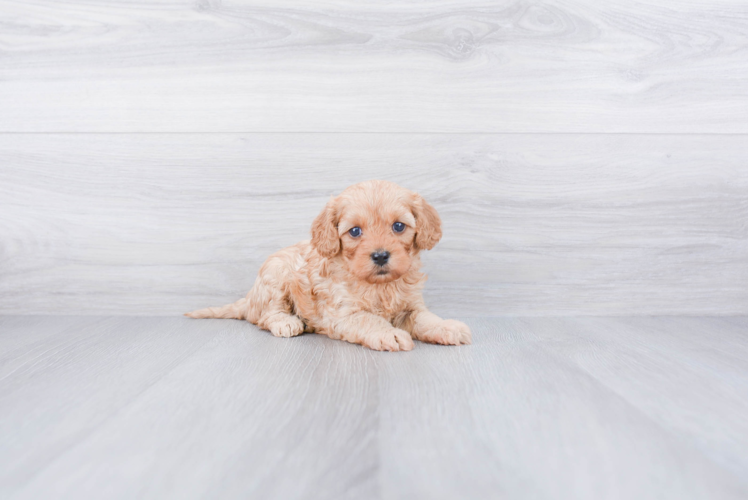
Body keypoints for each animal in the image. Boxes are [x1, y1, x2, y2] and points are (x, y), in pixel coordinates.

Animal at [186, 181, 470, 352]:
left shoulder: (411, 306)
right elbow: (368, 319)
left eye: (399, 226)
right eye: (355, 231)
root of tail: (249, 298)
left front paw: (447, 327)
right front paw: (390, 334)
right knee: (266, 316)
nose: (380, 256)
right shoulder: (342, 313)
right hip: (275, 276)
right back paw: (287, 322)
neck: (379, 286)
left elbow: (427, 319)